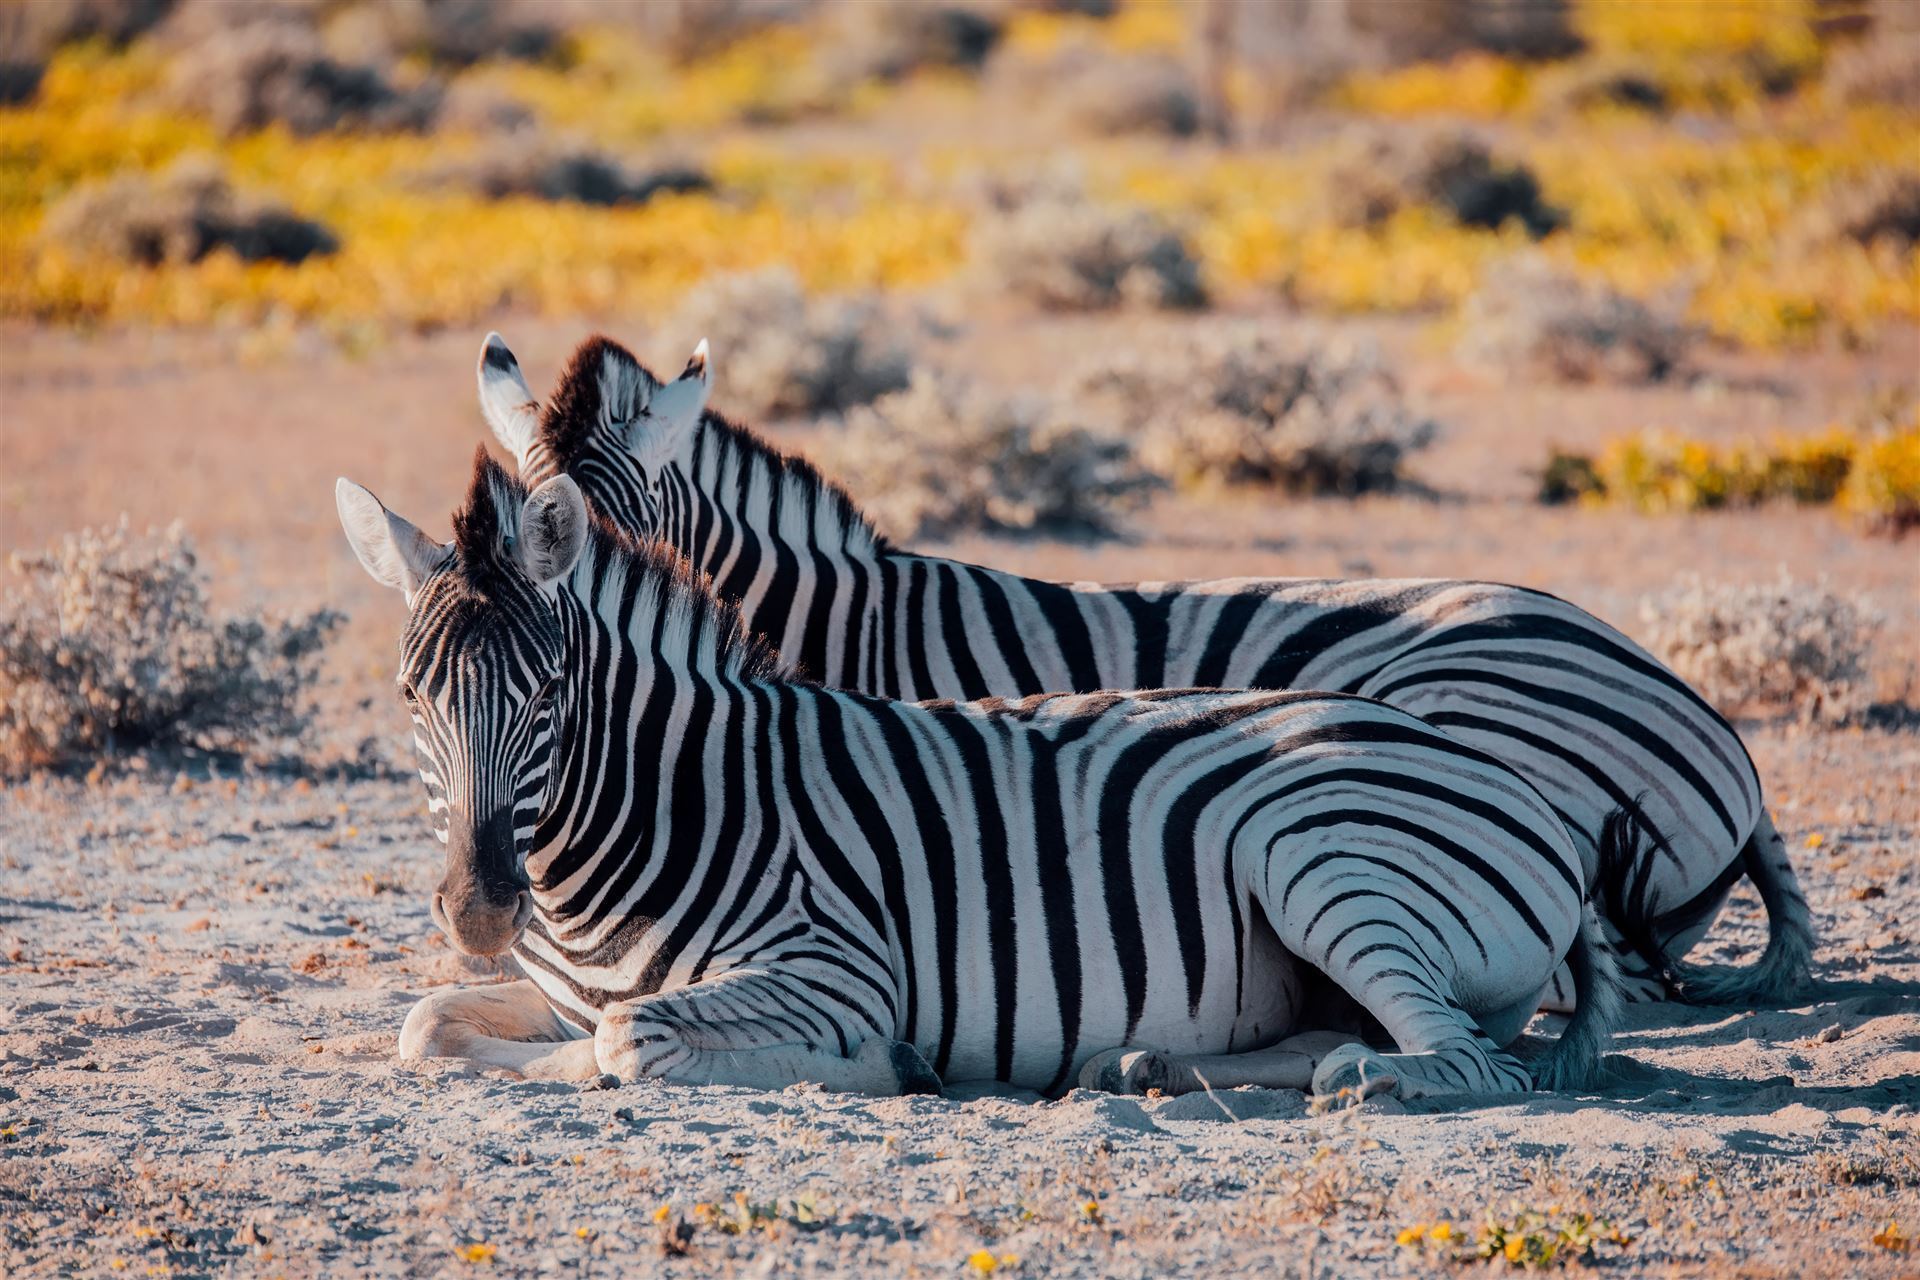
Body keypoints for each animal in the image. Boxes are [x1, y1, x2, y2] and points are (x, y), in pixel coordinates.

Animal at [335, 450, 1623, 1100]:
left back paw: (1367, 1081)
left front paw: (881, 1064)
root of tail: (1524, 794)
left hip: (1319, 854)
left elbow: (625, 1041)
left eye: (547, 693)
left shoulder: (836, 965)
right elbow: (427, 1024)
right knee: (1339, 1038)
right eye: (407, 697)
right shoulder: (552, 987)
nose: (478, 909)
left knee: (1465, 1062)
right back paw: (1149, 1063)